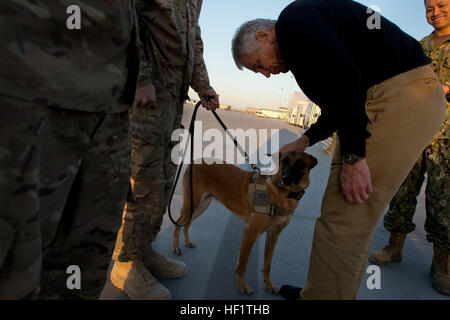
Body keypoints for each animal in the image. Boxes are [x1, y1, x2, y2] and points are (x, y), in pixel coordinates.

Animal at [171, 151, 316, 296]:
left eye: (301, 163)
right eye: (284, 161)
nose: (286, 179)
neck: (281, 193)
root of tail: (195, 161)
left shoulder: (274, 235)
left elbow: (267, 264)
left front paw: (268, 285)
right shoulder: (251, 233)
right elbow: (243, 264)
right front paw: (242, 286)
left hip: (202, 205)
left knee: (187, 223)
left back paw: (187, 241)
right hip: (192, 205)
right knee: (178, 223)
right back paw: (176, 247)